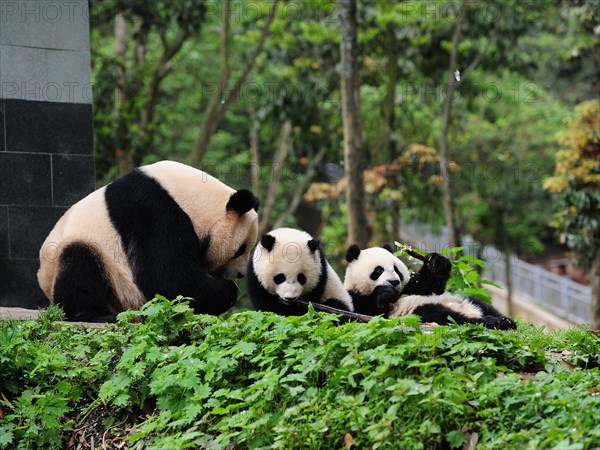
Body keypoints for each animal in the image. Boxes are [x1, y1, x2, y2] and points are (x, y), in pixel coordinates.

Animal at [37, 160, 258, 322]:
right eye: (240, 250)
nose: (239, 274)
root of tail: (43, 280)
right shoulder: (153, 212)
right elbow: (167, 276)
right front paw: (228, 290)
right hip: (95, 261)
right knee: (79, 264)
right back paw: (98, 314)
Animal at [342, 244, 516, 328]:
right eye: (378, 270)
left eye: (396, 270)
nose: (394, 282)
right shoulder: (356, 300)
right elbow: (366, 312)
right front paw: (385, 293)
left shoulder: (409, 289)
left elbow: (427, 287)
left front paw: (437, 263)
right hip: (418, 313)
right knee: (445, 316)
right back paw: (492, 322)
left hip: (465, 300)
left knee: (479, 303)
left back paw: (506, 321)